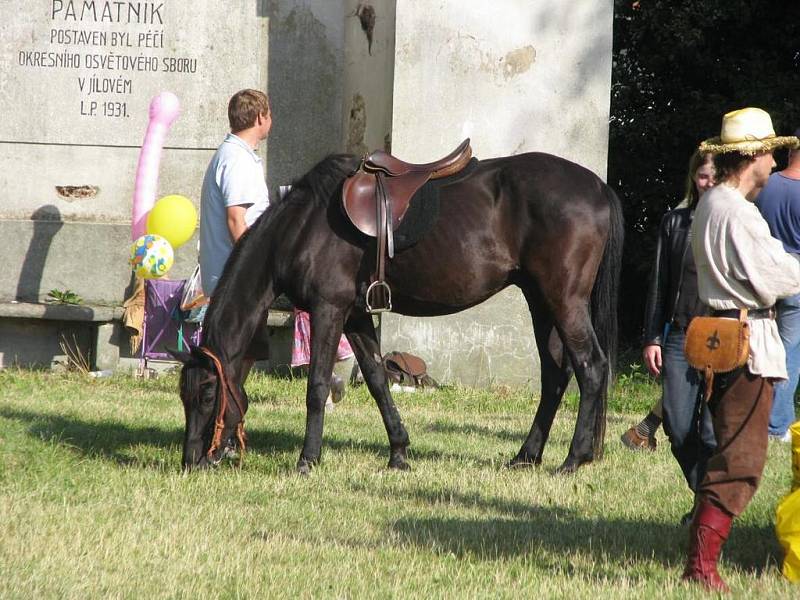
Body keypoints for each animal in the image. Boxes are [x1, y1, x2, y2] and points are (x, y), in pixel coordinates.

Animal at [173, 149, 624, 474]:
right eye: (183, 394)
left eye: (209, 392)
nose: (192, 461)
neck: (302, 227)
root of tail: (597, 187)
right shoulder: (356, 315)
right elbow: (376, 381)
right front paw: (399, 453)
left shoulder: (328, 309)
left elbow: (317, 386)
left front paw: (307, 460)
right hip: (540, 301)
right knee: (555, 375)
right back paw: (526, 456)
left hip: (564, 300)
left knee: (591, 368)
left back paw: (573, 459)